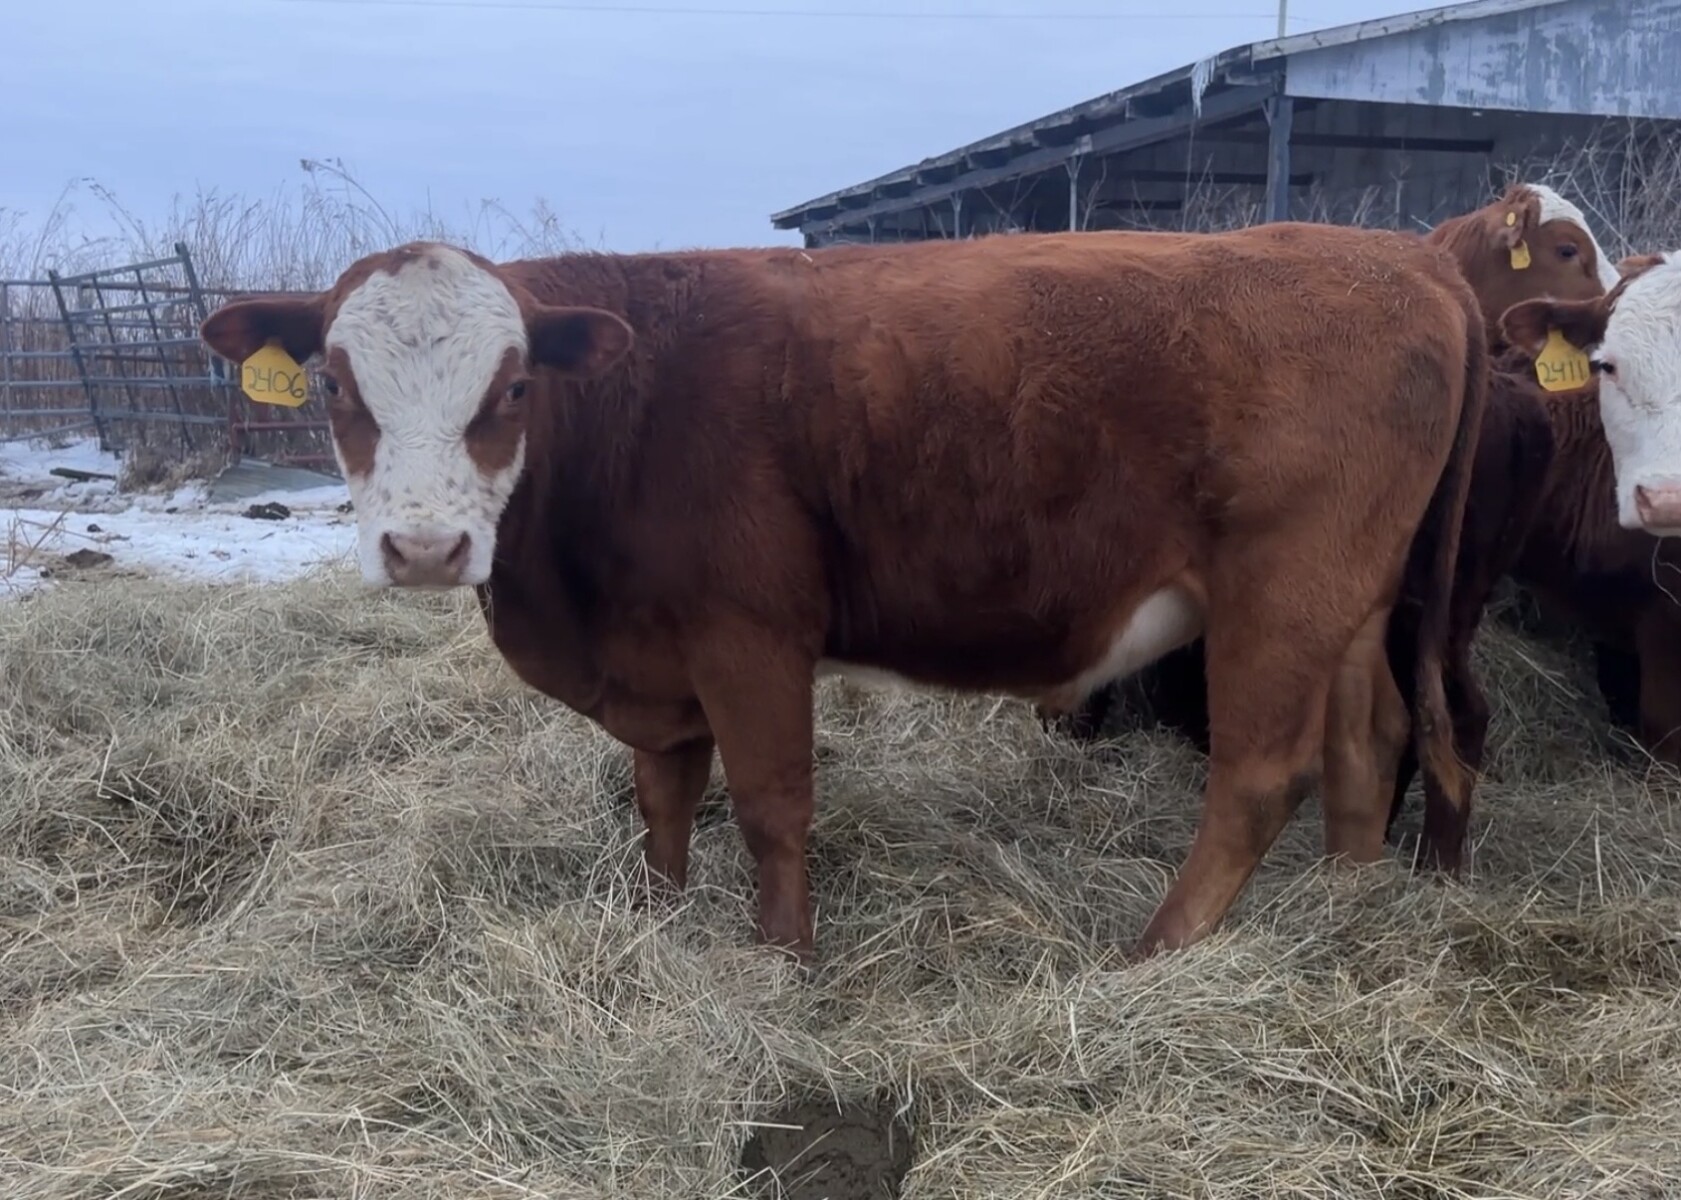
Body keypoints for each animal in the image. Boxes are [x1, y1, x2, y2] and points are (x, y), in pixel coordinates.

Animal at [198, 224, 1487, 963]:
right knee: (1367, 743)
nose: (423, 547)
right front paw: (661, 924)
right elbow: (663, 797)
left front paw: (782, 962)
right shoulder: (659, 653)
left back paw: (1152, 954)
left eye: (512, 388)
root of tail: (1404, 256)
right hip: (1351, 599)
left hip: (1281, 588)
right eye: (337, 387)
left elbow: (771, 803)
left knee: (1260, 774)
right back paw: (1348, 904)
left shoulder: (748, 632)